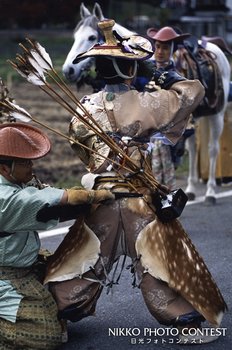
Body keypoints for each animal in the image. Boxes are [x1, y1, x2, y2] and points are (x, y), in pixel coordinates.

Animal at [62, 1, 231, 204]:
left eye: (92, 37)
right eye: (75, 36)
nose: (68, 70)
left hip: (217, 114)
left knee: (212, 149)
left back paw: (210, 191)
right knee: (192, 148)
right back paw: (190, 188)